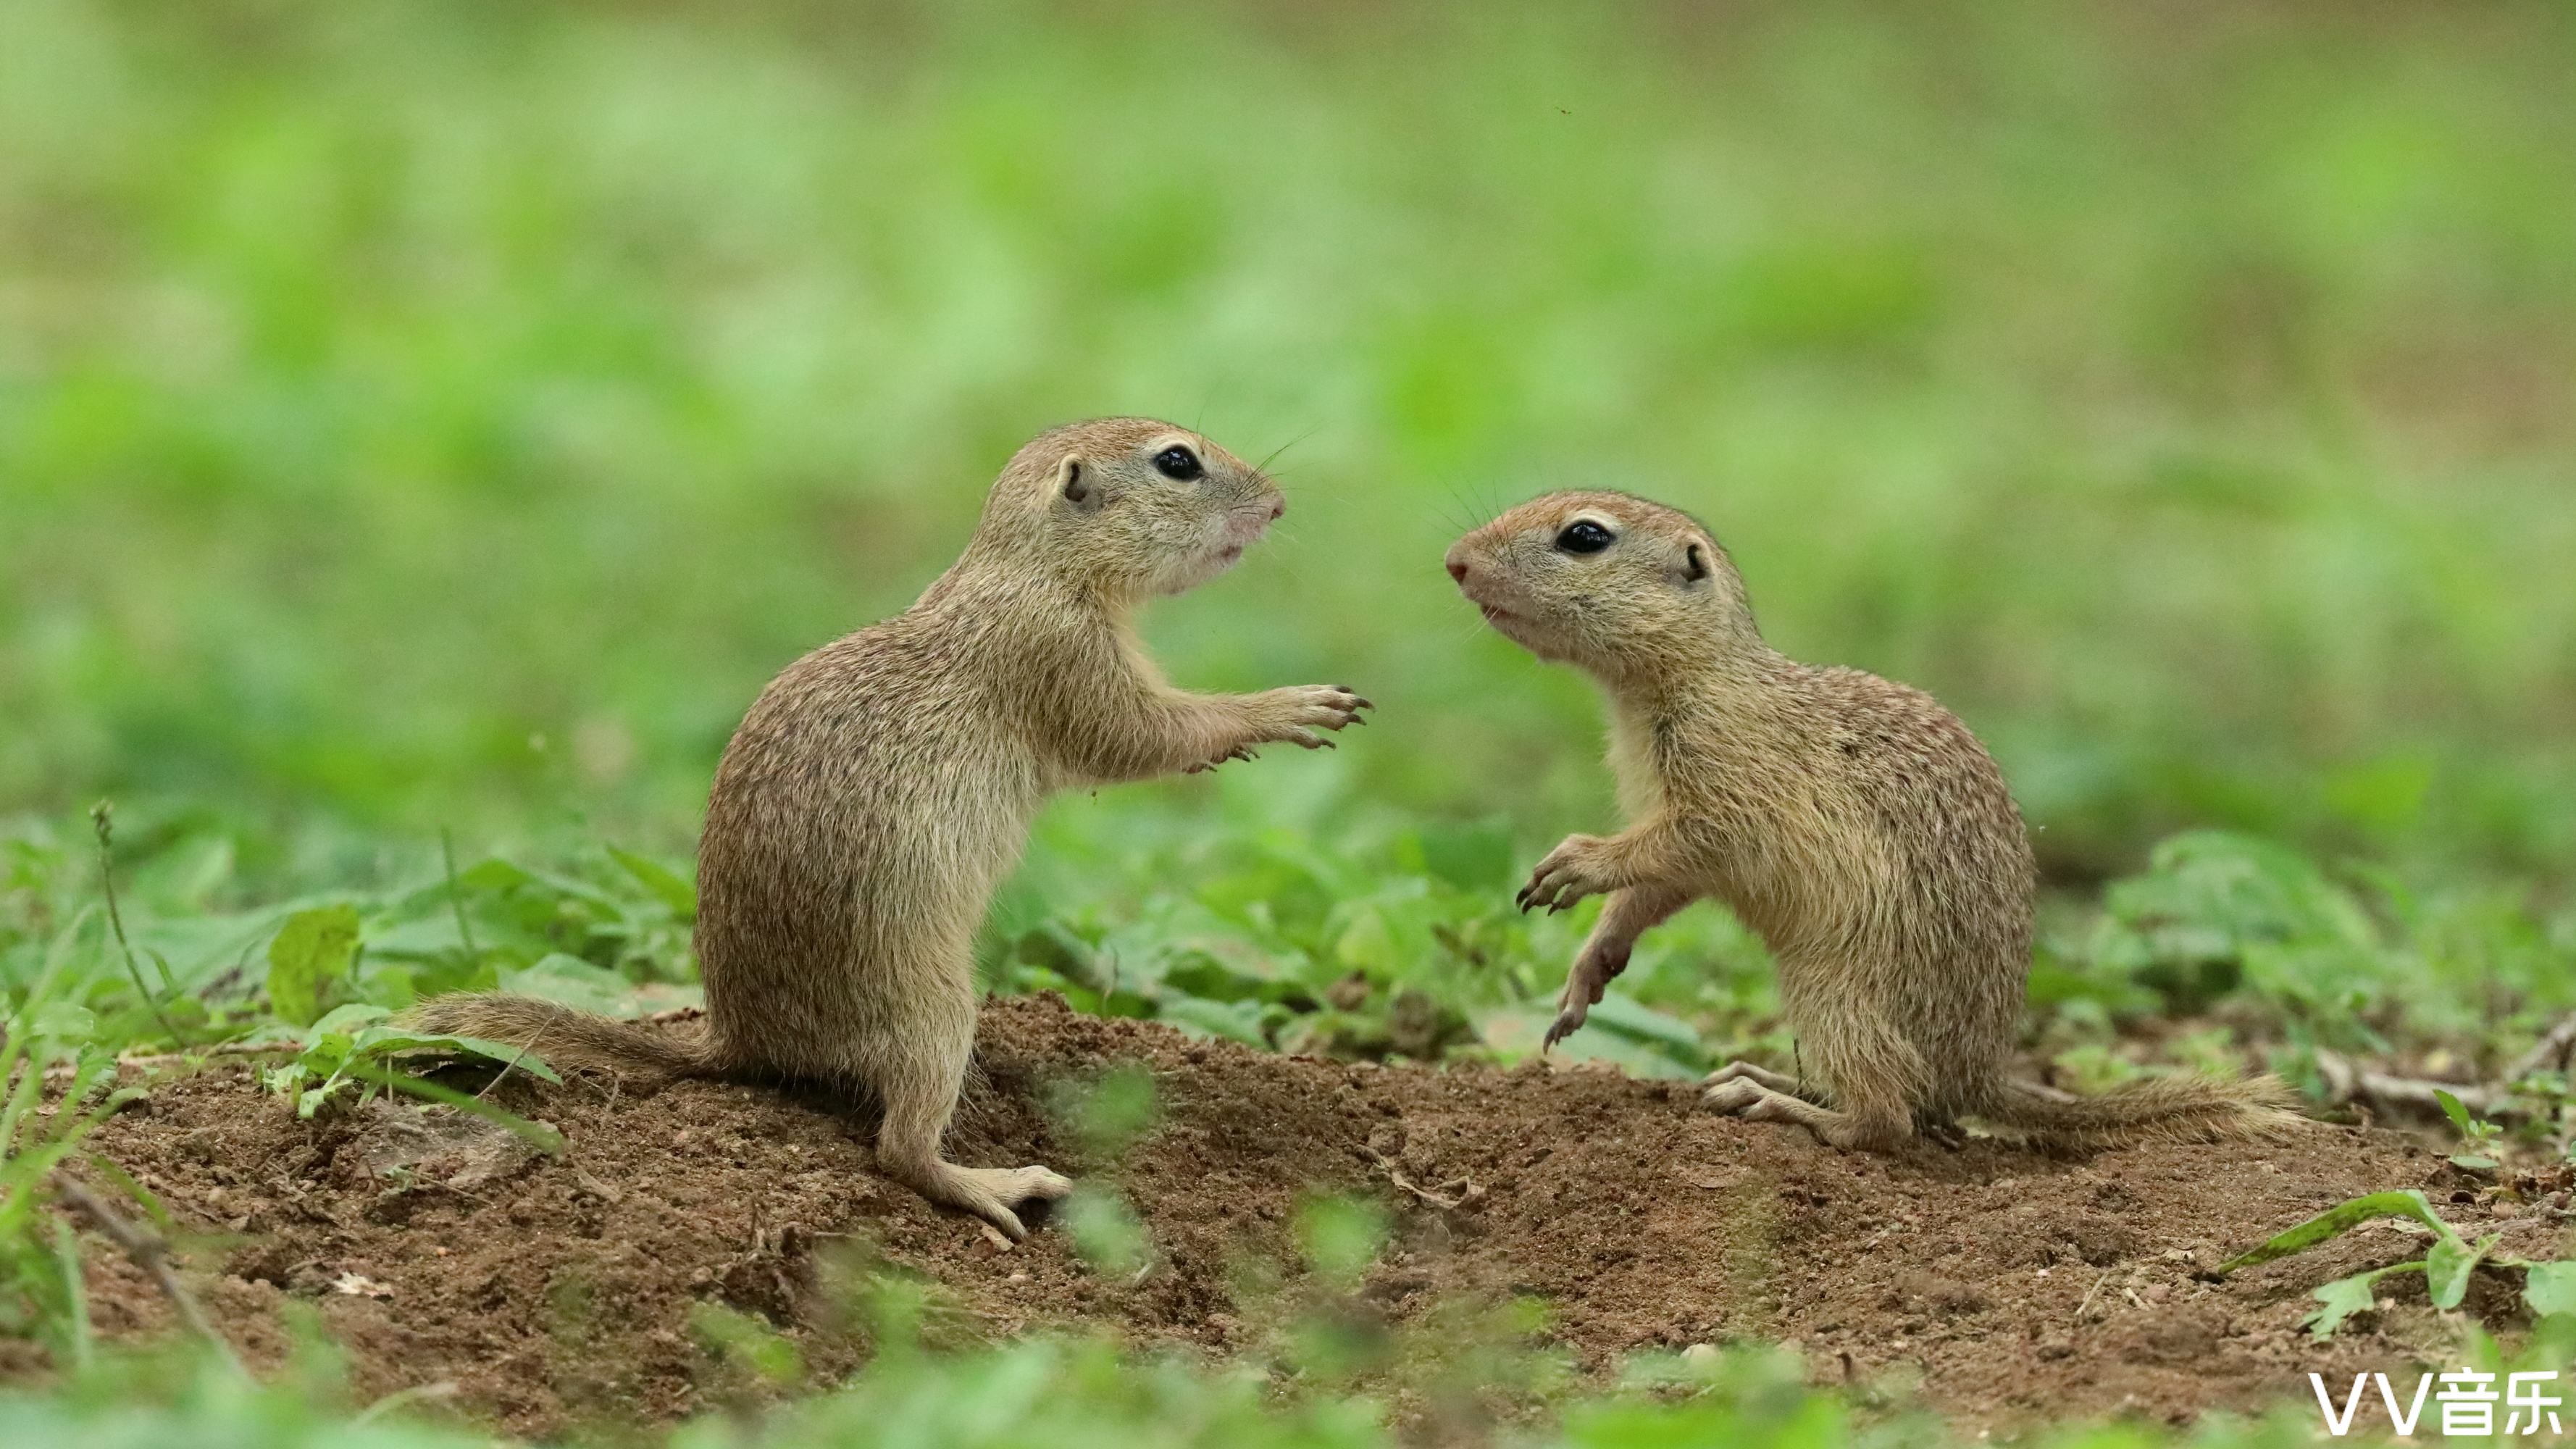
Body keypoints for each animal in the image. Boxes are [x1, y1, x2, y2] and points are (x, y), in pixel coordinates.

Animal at [419, 414, 1381, 1227]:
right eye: (1177, 461)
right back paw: (996, 1185)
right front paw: (1290, 707)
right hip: (932, 1007)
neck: (1028, 568)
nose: (1278, 501)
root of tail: (738, 1042)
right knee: (898, 1149)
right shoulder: (1064, 660)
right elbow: (1142, 735)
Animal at [1442, 490, 2308, 1145]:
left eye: (1584, 536)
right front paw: (1588, 971)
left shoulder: (1729, 787)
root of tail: (1981, 1078)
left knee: (1888, 1119)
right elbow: (1656, 888)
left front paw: (1575, 861)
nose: (1454, 560)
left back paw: (1778, 1102)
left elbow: (1682, 844)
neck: (1693, 680)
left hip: (1833, 990)